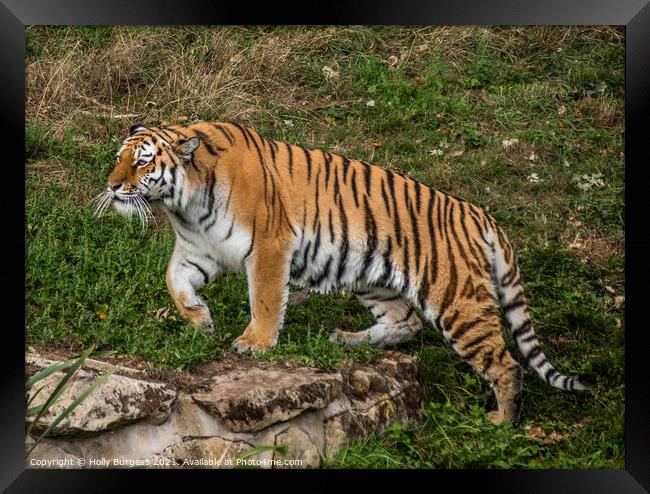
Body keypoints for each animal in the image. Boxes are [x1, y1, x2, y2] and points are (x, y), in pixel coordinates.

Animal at [97, 120, 592, 424]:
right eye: (120, 158)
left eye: (142, 161)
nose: (112, 185)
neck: (185, 202)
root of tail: (479, 214)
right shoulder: (198, 250)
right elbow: (174, 281)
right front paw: (200, 319)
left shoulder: (270, 245)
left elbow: (265, 298)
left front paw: (255, 344)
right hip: (371, 279)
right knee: (404, 322)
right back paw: (347, 339)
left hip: (457, 300)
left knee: (506, 364)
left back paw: (501, 421)